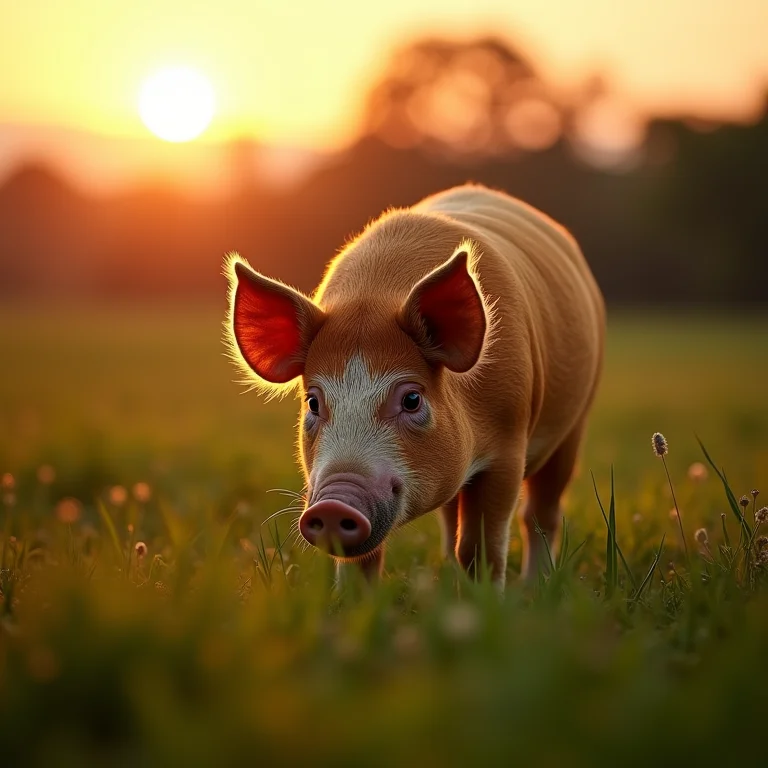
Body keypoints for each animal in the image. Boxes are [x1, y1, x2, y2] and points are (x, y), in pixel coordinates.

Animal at [225, 184, 604, 588]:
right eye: (313, 402)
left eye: (411, 399)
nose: (332, 504)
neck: (373, 298)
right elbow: (360, 560)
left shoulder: (508, 447)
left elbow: (482, 545)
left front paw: (486, 598)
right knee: (453, 521)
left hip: (576, 423)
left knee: (541, 513)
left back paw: (534, 589)